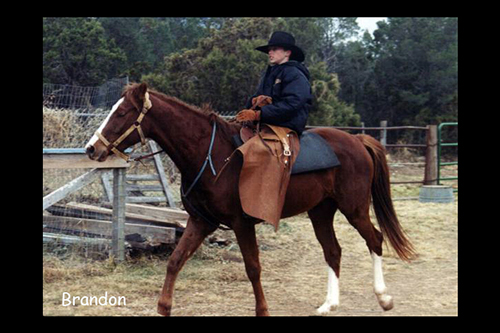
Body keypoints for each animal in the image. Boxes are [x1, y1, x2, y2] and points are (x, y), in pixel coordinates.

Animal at [85, 81, 414, 316]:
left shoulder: (241, 223)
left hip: (354, 208)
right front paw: (164, 308)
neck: (211, 154)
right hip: (321, 211)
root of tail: (357, 140)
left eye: (122, 113)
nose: (91, 149)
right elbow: (175, 260)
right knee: (333, 251)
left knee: (374, 239)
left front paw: (263, 310)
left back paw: (384, 297)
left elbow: (253, 268)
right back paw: (328, 305)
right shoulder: (201, 222)